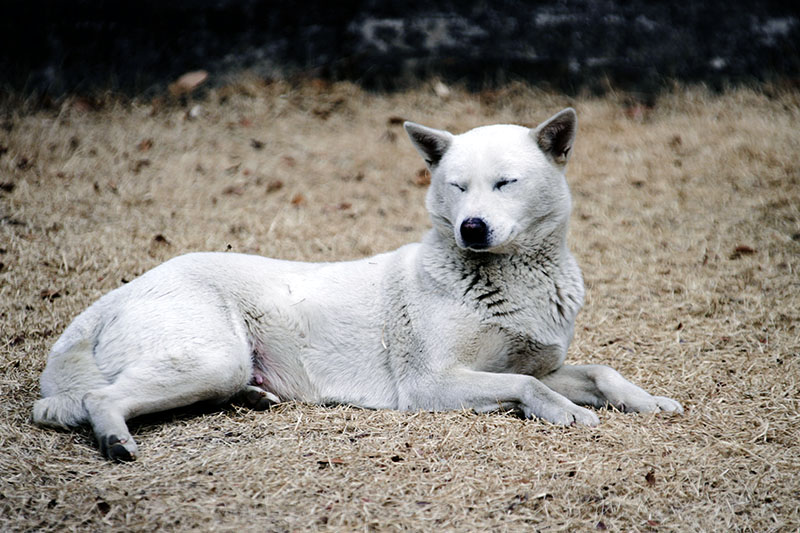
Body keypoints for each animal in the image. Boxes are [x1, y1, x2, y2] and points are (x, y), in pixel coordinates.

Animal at [32, 108, 680, 458]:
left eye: (505, 183)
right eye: (456, 186)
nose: (470, 228)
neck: (509, 278)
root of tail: (114, 297)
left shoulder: (543, 363)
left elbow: (598, 372)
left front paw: (649, 402)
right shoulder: (431, 384)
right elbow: (525, 386)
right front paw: (566, 414)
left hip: (217, 366)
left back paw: (255, 398)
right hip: (208, 357)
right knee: (94, 400)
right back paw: (115, 440)